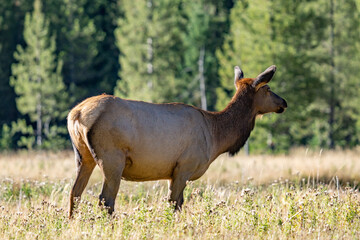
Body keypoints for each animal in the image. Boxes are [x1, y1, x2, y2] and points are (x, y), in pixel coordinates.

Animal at [67, 64, 286, 217]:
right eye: (267, 88)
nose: (283, 102)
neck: (216, 136)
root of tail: (76, 114)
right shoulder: (184, 166)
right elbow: (174, 204)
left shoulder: (174, 172)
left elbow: (178, 204)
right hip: (112, 158)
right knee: (106, 199)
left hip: (83, 157)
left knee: (74, 193)